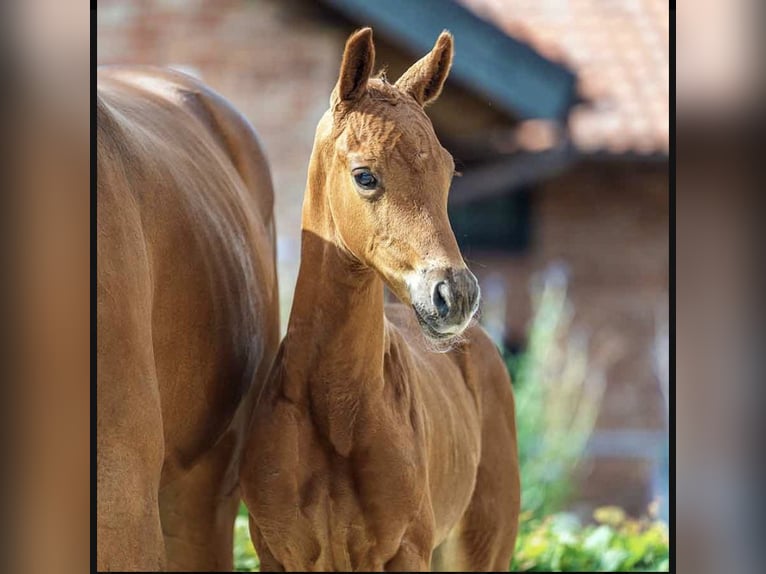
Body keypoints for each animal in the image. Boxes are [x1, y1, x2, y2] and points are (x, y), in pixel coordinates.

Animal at [243, 30, 520, 572]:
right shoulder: (276, 553)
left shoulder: (405, 551)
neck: (336, 415)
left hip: (484, 544)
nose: (455, 294)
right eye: (365, 175)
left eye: (448, 172)